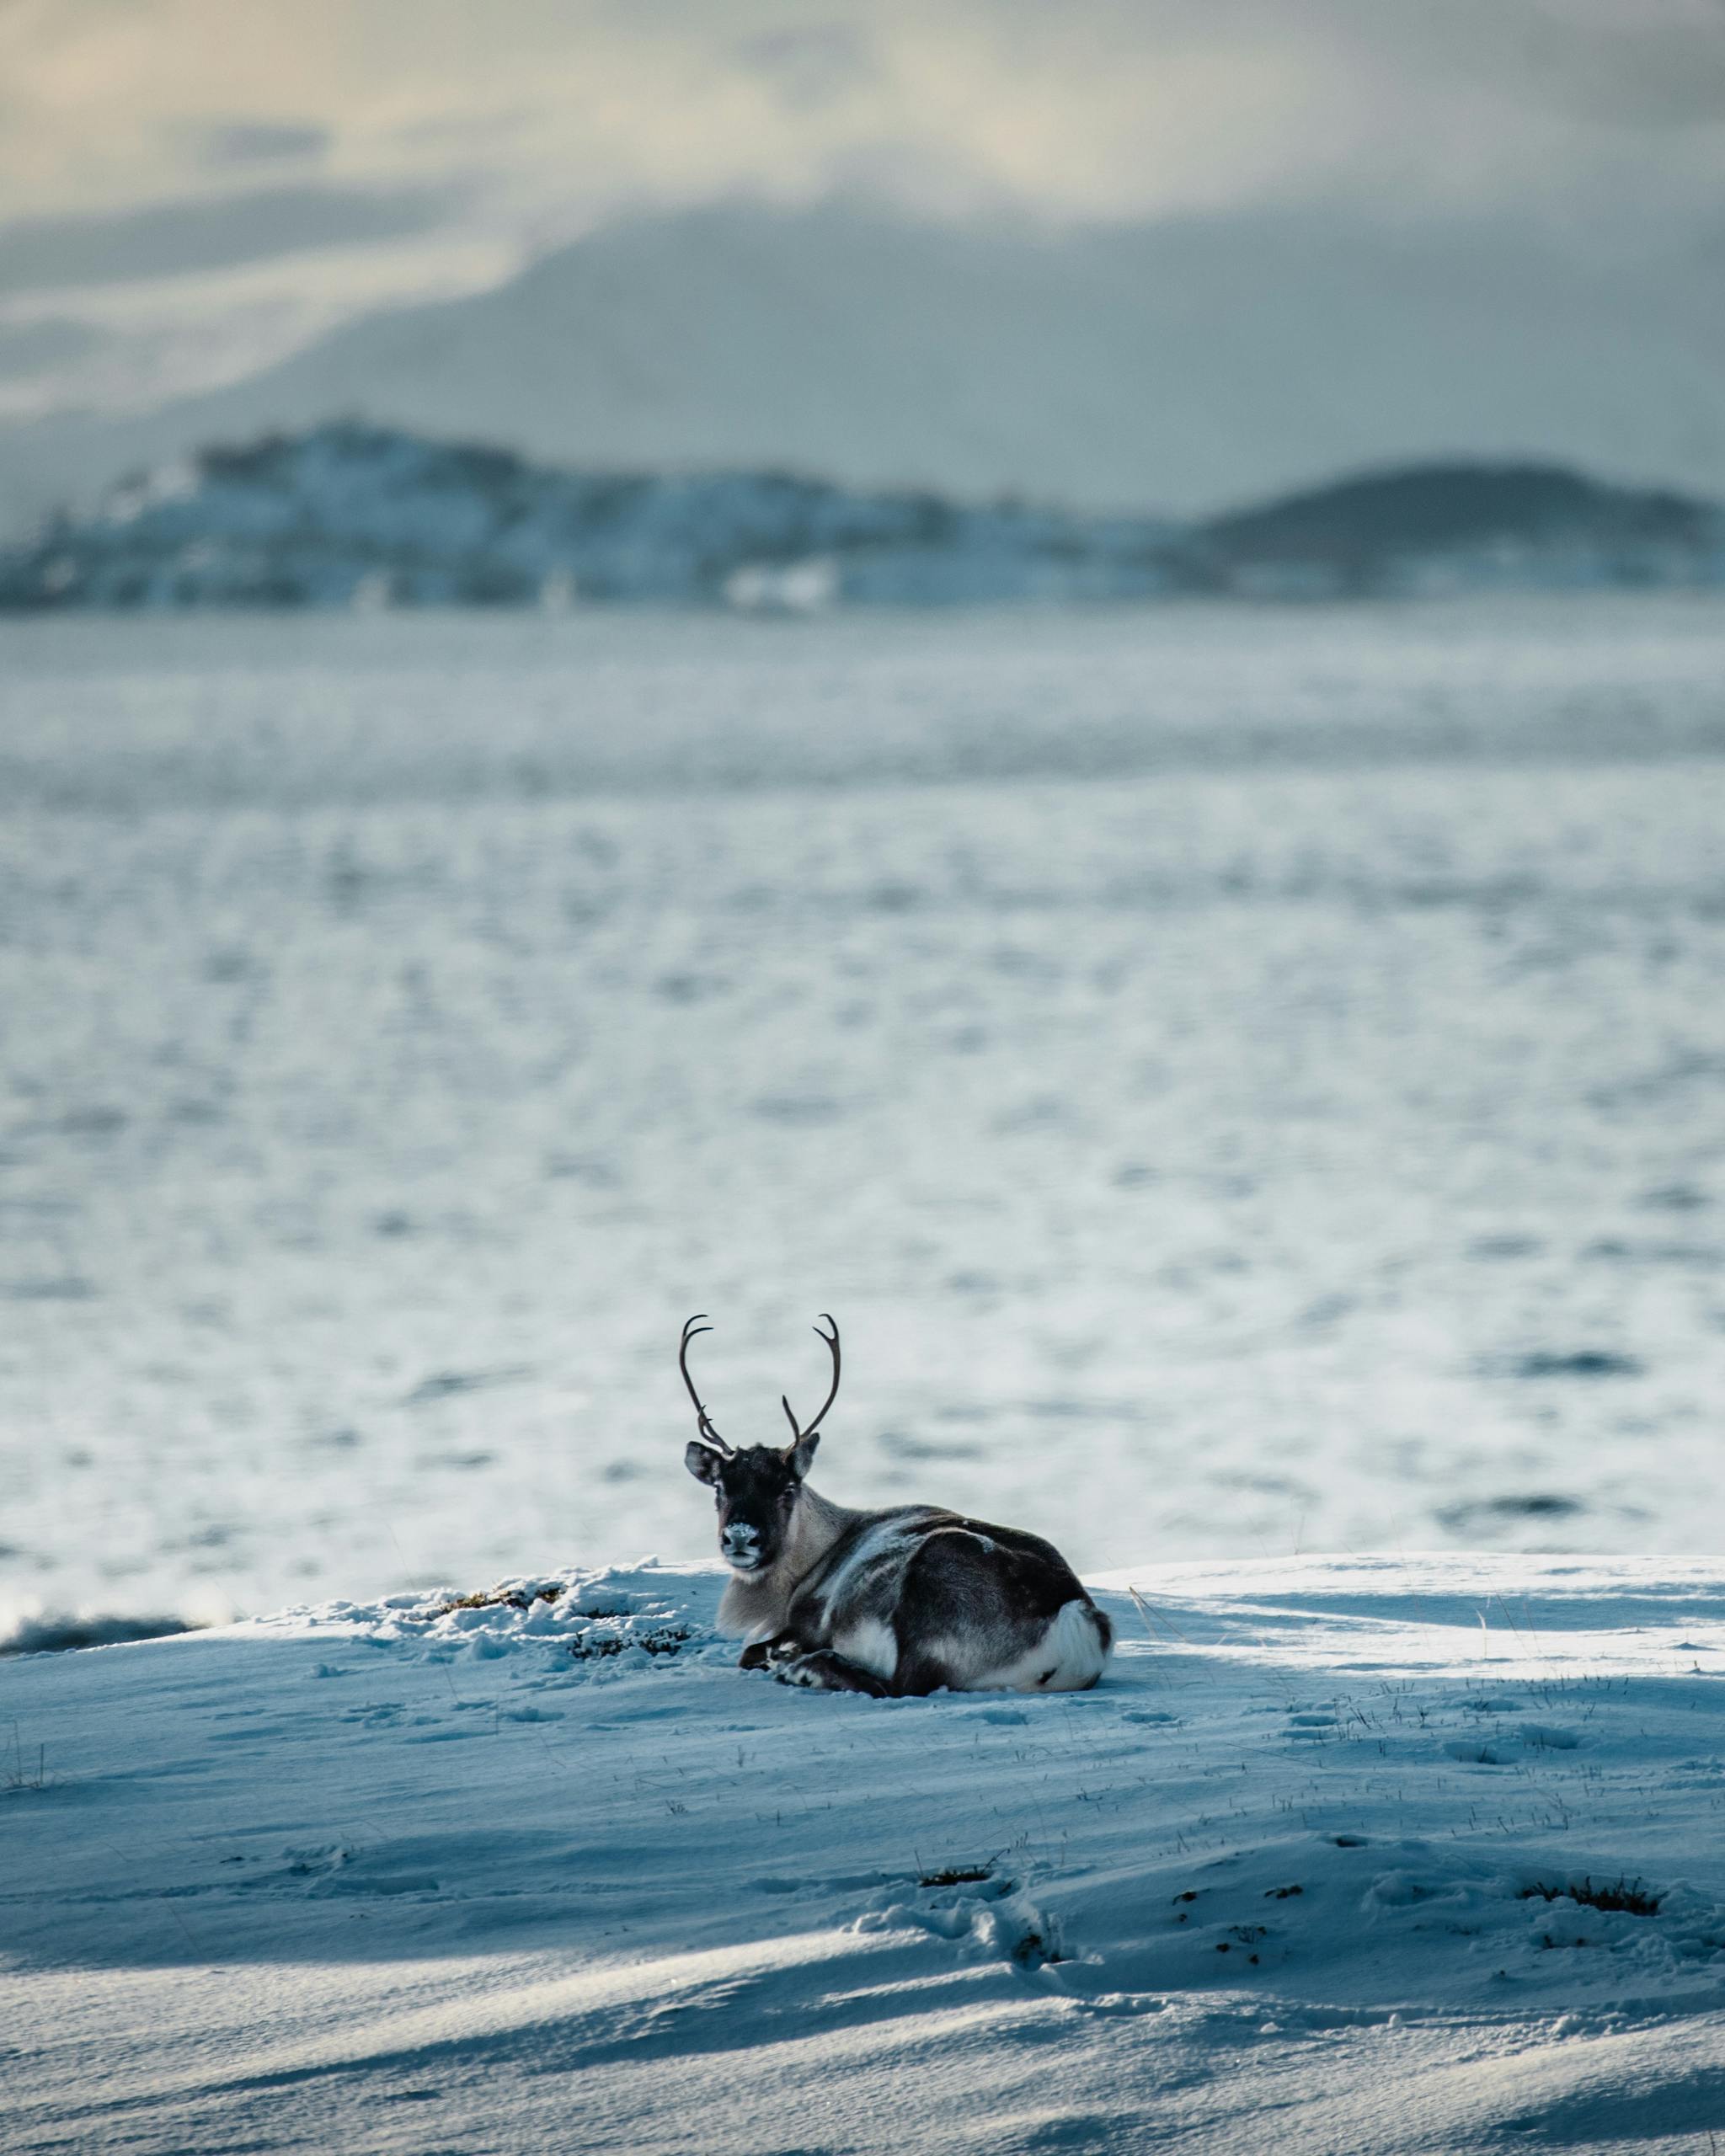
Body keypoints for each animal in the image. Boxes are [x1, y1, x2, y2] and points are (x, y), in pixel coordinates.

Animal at [680, 1314, 1112, 1695]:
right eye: (720, 1488)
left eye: (787, 1488)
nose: (741, 1537)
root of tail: (1076, 1625)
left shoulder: (808, 1621)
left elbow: (750, 1652)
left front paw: (781, 1658)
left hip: (932, 1589)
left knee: (896, 1686)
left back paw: (800, 1668)